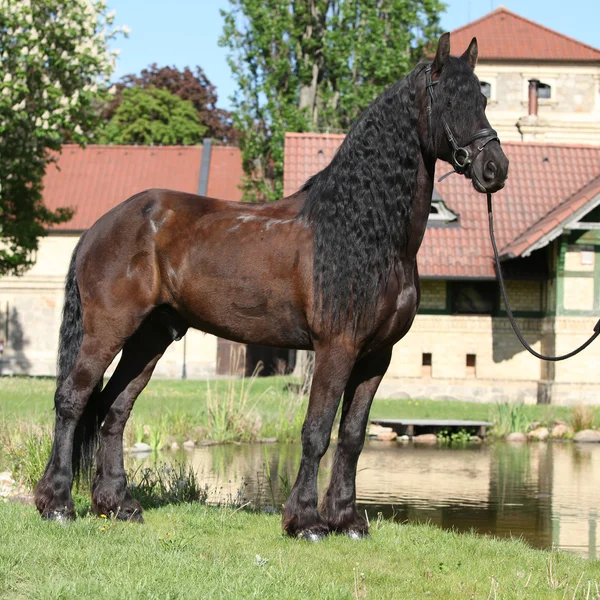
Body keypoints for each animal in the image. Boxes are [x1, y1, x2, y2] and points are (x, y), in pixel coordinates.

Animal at [35, 32, 508, 540]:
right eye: (450, 101)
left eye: (483, 100)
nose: (495, 168)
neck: (365, 233)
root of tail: (101, 226)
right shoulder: (336, 348)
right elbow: (316, 431)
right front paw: (306, 521)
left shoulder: (376, 356)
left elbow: (353, 435)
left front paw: (347, 519)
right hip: (107, 330)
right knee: (72, 399)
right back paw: (57, 504)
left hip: (150, 337)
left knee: (114, 408)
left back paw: (118, 504)